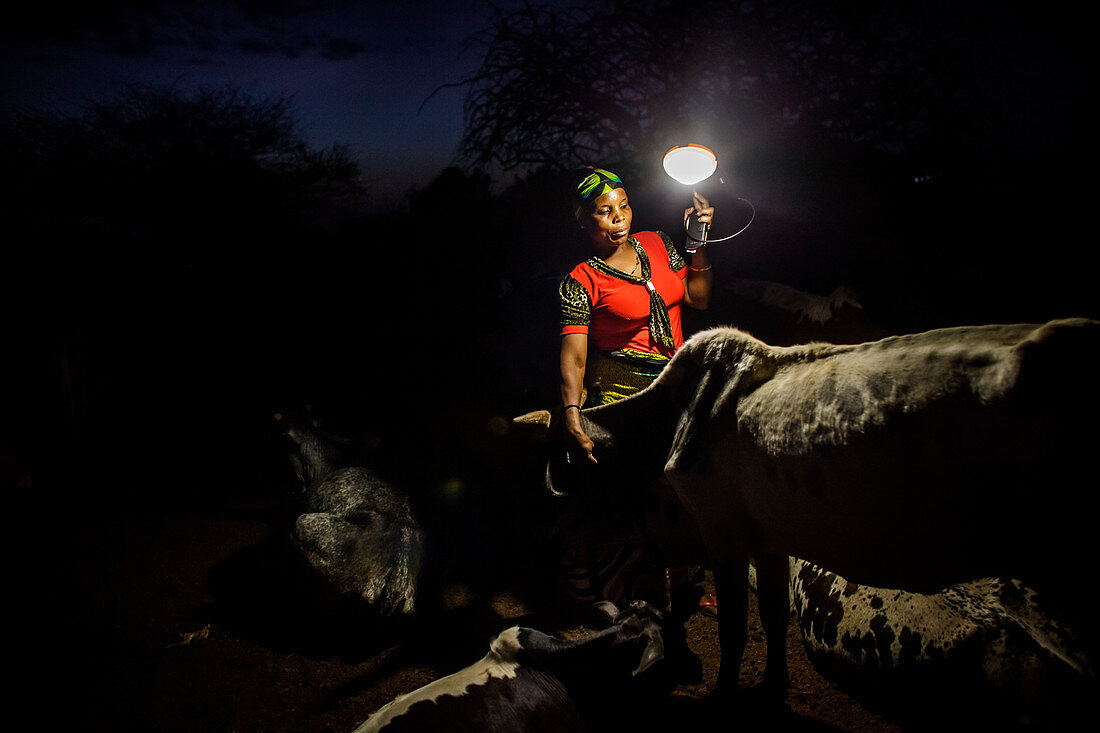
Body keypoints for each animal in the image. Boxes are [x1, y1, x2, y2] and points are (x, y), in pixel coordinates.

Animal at [517, 319, 1100, 704]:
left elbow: (735, 628)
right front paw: (774, 687)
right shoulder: (771, 542)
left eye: (575, 492)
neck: (668, 426)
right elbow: (775, 617)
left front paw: (725, 695)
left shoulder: (724, 539)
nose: (545, 543)